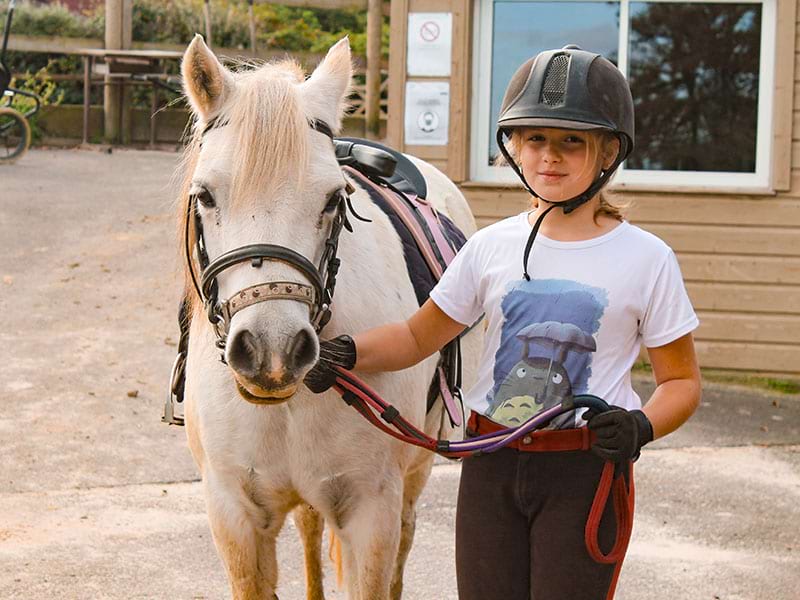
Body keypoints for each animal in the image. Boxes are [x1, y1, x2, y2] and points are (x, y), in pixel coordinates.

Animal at [180, 35, 482, 596]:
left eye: (333, 198)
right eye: (204, 195)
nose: (271, 350)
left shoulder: (371, 515)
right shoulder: (234, 516)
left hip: (415, 470)